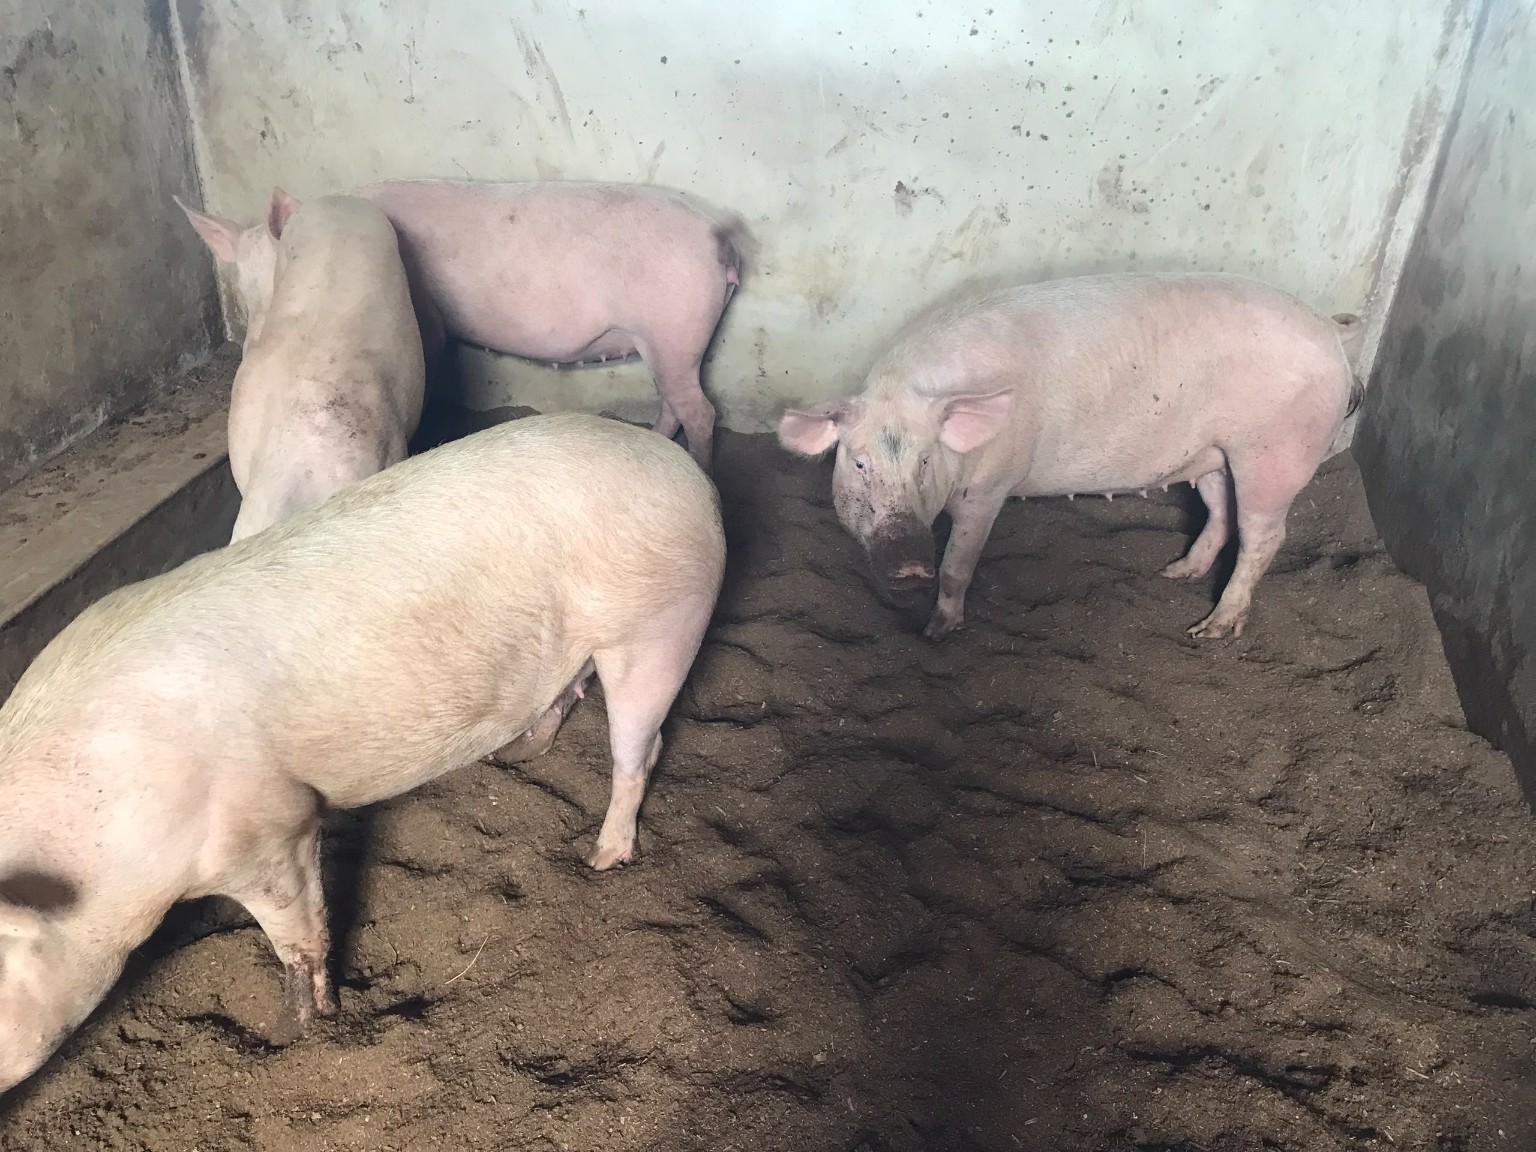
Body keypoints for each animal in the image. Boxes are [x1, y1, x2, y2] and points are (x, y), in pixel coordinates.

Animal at [0, 413, 724, 1094]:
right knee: (567, 692)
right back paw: (518, 755)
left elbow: (301, 933)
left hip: (660, 623)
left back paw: (601, 859)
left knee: (642, 746)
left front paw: (305, 1027)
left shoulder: (269, 827)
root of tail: (687, 473)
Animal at [353, 179, 747, 472]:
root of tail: (717, 237)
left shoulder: (427, 314)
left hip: (673, 329)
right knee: (675, 403)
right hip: (673, 344)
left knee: (700, 412)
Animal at [778, 272, 1365, 641]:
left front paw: (936, 632)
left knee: (1264, 536)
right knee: (1221, 512)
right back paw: (1175, 573)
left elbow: (958, 567)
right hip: (1214, 451)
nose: (908, 564)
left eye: (925, 460)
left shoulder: (991, 488)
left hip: (1275, 451)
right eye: (859, 463)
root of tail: (1329, 330)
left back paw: (1209, 631)